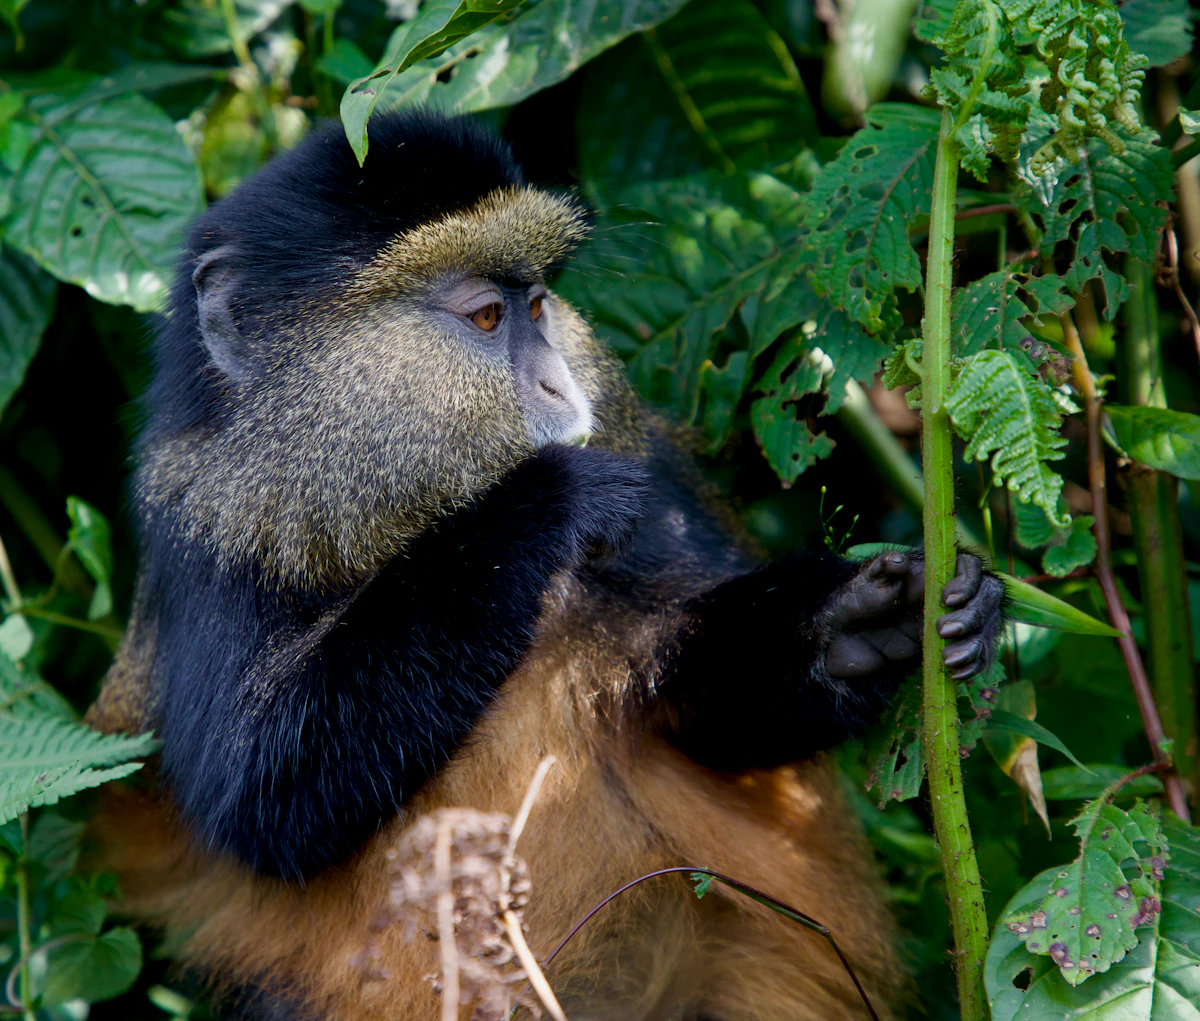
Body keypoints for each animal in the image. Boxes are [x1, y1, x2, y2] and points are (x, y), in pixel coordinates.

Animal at [86, 110, 1005, 1021]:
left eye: (537, 303)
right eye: (489, 318)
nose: (563, 385)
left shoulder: (651, 473)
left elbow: (703, 716)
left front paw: (862, 624)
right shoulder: (205, 533)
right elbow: (261, 799)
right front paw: (547, 498)